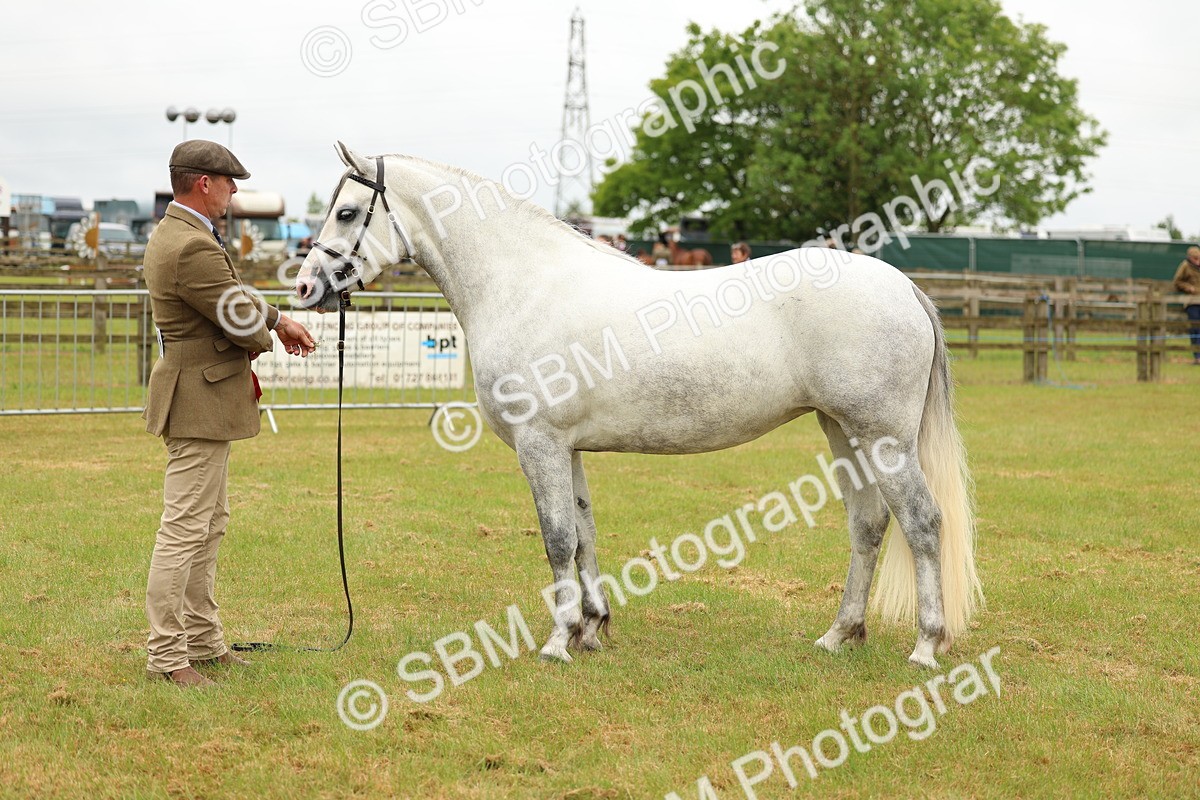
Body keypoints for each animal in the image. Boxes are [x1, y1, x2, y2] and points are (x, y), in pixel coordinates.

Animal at [296, 143, 982, 669]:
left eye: (348, 212)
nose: (304, 286)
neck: (524, 284)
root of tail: (902, 286)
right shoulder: (567, 448)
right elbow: (582, 534)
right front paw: (591, 629)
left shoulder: (540, 444)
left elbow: (556, 539)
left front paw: (557, 642)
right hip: (844, 433)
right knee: (868, 526)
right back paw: (839, 634)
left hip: (883, 437)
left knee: (923, 522)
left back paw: (926, 646)